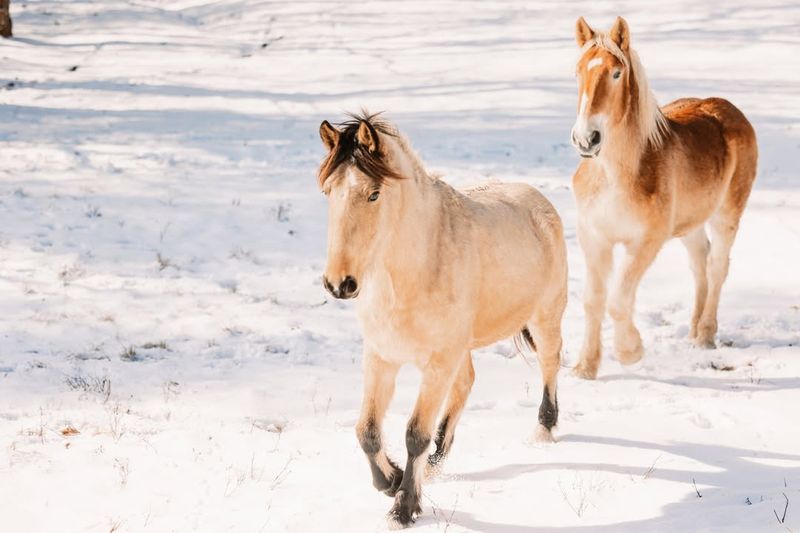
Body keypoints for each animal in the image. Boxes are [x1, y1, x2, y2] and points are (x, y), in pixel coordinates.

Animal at [318, 113, 568, 528]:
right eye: (328, 192)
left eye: (373, 194)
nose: (340, 283)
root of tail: (537, 198)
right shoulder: (382, 357)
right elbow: (366, 431)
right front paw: (391, 479)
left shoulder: (437, 363)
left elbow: (414, 434)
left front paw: (403, 508)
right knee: (466, 382)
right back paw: (436, 460)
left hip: (545, 317)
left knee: (550, 363)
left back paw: (543, 431)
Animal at [568, 17, 756, 378]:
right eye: (578, 71)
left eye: (616, 73)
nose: (587, 139)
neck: (614, 178)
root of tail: (731, 109)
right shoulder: (593, 239)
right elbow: (593, 299)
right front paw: (585, 367)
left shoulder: (645, 242)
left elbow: (618, 300)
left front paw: (630, 352)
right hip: (690, 224)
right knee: (699, 263)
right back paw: (694, 330)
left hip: (727, 215)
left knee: (717, 265)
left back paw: (705, 335)